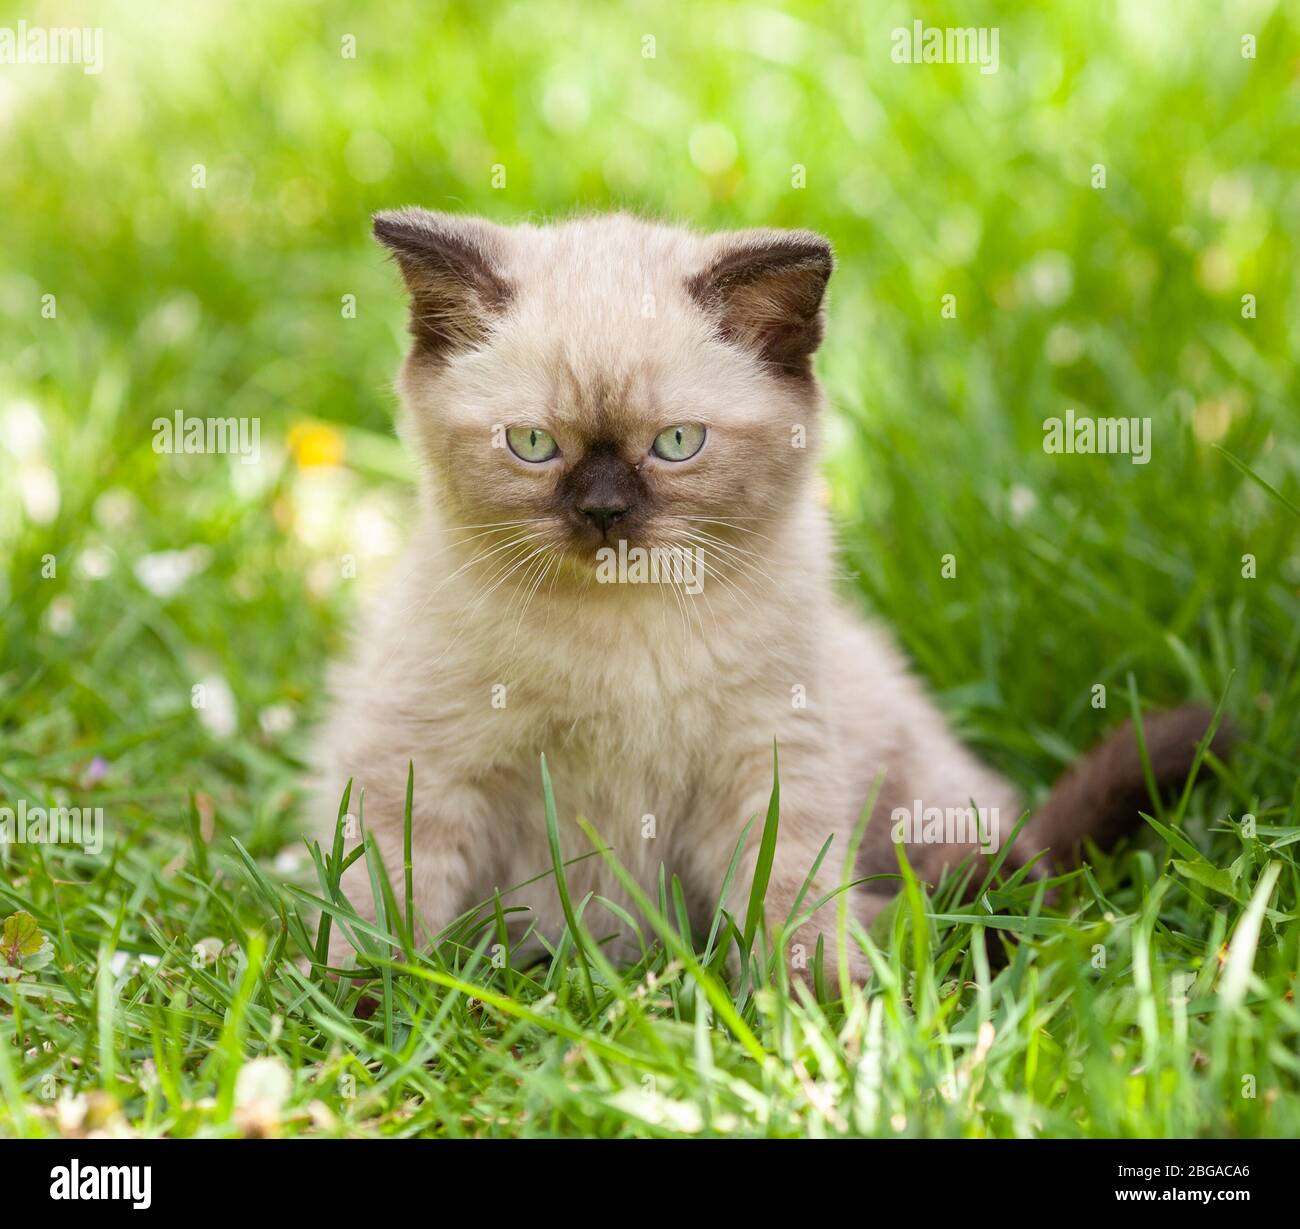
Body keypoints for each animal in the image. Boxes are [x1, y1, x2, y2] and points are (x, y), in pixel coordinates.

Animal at [312, 208, 1216, 977]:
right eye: (533, 444)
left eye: (677, 443)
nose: (603, 512)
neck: (623, 640)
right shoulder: (426, 768)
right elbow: (387, 908)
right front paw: (373, 1007)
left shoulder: (765, 764)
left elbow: (790, 898)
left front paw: (822, 1013)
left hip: (924, 795)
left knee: (1003, 871)